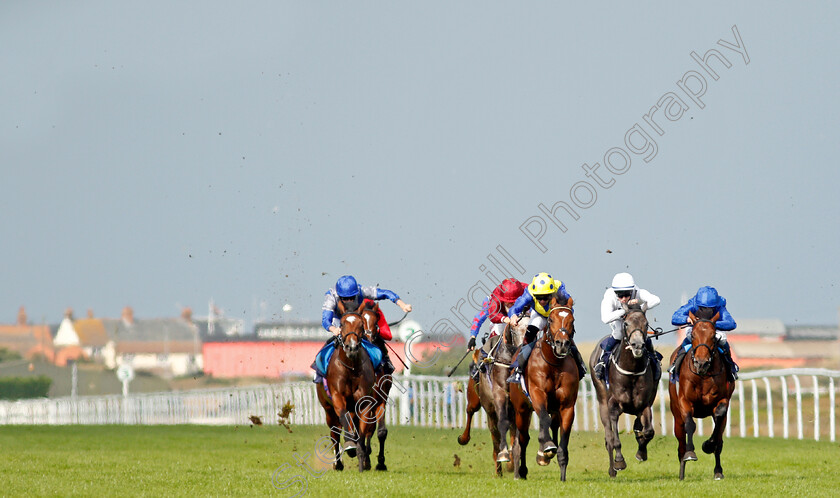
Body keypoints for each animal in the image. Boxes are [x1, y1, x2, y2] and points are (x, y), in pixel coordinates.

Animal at [316, 298, 378, 472]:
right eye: (342, 324)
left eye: (361, 324)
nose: (352, 347)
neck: (351, 367)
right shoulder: (337, 397)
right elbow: (343, 418)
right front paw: (350, 445)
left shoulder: (364, 402)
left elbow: (362, 431)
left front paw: (361, 457)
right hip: (328, 410)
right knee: (335, 434)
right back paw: (338, 463)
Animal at [456, 316, 528, 474]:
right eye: (514, 330)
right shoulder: (494, 407)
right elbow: (498, 434)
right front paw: (501, 460)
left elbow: (515, 435)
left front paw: (511, 462)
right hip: (475, 399)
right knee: (470, 411)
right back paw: (464, 439)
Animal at [508, 298, 580, 480]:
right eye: (551, 320)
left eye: (572, 321)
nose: (562, 344)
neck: (553, 363)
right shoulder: (537, 394)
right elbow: (543, 419)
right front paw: (546, 447)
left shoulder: (567, 405)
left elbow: (563, 436)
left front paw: (562, 474)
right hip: (521, 410)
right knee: (523, 438)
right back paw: (521, 470)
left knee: (552, 425)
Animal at [588, 302, 660, 476]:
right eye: (626, 323)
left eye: (646, 323)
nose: (638, 345)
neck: (632, 371)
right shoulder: (613, 405)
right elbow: (615, 439)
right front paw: (619, 461)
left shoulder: (644, 404)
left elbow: (648, 432)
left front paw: (641, 452)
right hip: (602, 402)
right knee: (608, 437)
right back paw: (612, 469)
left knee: (639, 426)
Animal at [668, 312, 736, 478]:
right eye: (693, 335)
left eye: (713, 336)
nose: (701, 363)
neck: (703, 376)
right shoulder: (684, 402)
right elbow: (690, 425)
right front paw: (691, 453)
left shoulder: (722, 400)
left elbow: (719, 420)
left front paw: (708, 445)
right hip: (676, 417)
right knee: (681, 444)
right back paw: (682, 473)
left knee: (719, 438)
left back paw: (718, 471)